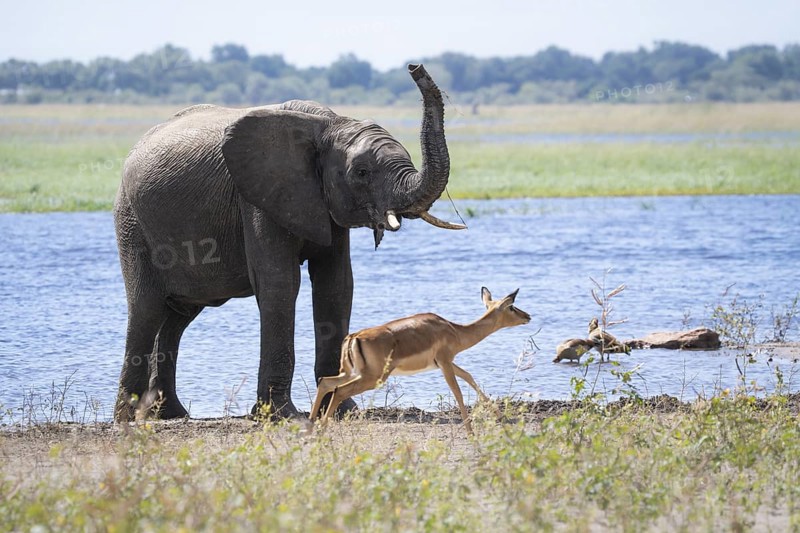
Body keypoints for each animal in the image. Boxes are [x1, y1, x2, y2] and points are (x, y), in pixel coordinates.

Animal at [113, 64, 462, 422]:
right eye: (362, 172)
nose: (415, 68)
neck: (328, 124)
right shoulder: (257, 197)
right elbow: (280, 283)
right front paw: (282, 415)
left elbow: (336, 285)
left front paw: (342, 410)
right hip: (132, 223)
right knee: (146, 310)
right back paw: (126, 418)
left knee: (177, 317)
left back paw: (170, 414)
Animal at [309, 287, 531, 433]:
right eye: (511, 307)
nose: (528, 316)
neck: (455, 331)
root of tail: (354, 337)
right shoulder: (444, 362)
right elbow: (458, 392)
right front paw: (470, 432)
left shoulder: (444, 363)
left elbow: (469, 377)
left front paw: (503, 419)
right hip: (373, 378)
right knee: (339, 390)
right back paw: (321, 430)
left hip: (351, 373)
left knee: (326, 382)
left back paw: (311, 426)